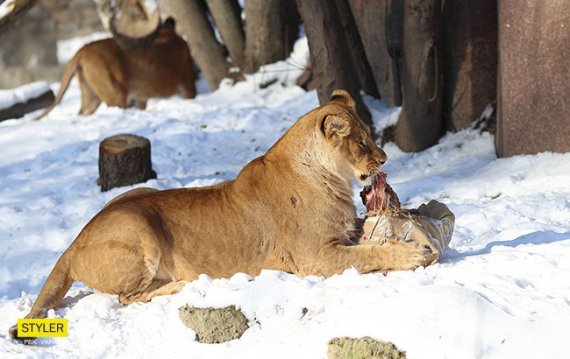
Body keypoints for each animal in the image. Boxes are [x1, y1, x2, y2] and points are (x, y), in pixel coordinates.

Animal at [10, 89, 430, 340]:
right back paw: (179, 284)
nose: (384, 158)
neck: (330, 179)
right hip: (139, 228)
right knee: (128, 298)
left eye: (371, 136)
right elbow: (368, 255)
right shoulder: (313, 257)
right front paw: (412, 253)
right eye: (361, 142)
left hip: (137, 193)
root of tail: (72, 243)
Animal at [36, 17, 195, 119]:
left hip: (91, 96)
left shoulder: (141, 98)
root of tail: (83, 49)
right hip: (115, 95)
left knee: (81, 114)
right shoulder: (187, 80)